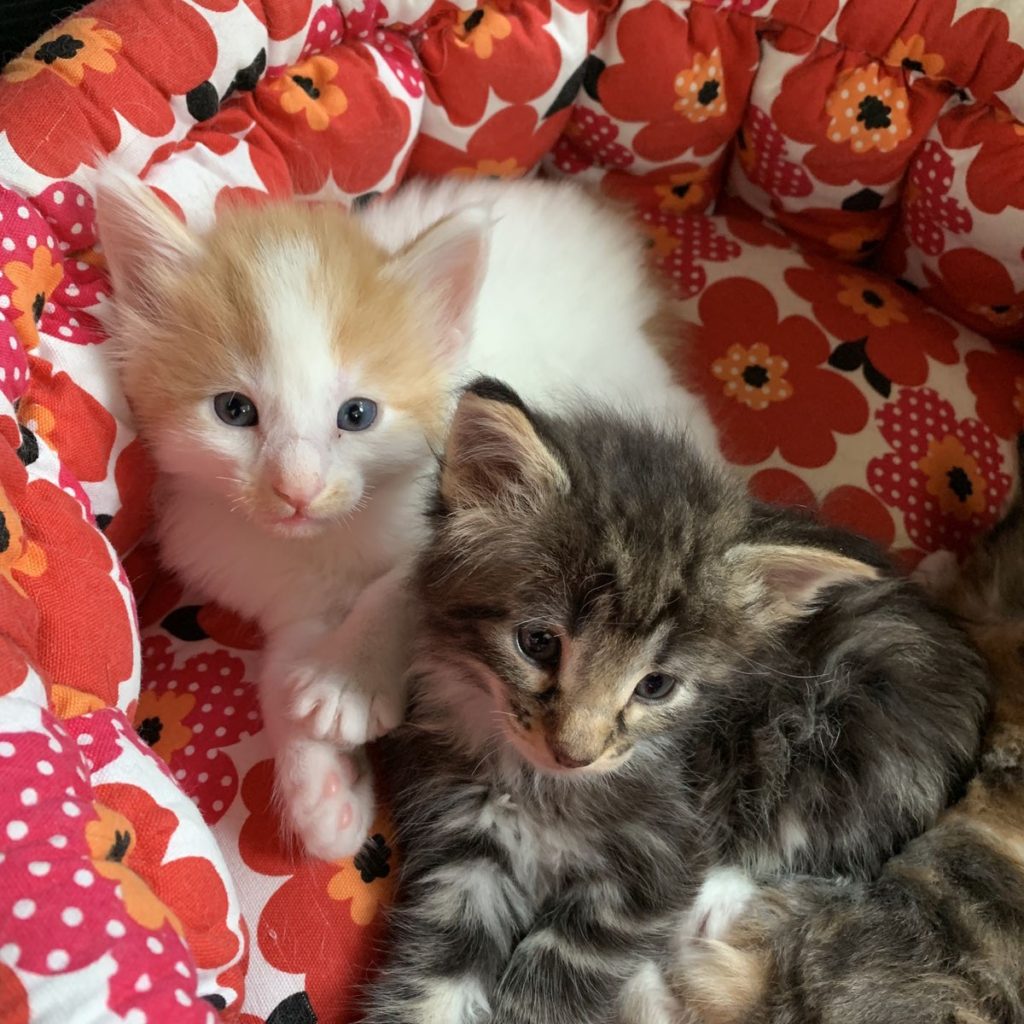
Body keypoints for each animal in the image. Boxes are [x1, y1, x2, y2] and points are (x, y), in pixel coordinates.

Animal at [93, 168, 716, 860]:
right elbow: (282, 671)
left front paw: (347, 683)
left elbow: (405, 581)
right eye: (234, 410)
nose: (297, 489)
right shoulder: (281, 590)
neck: (332, 538)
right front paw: (321, 790)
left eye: (357, 414)